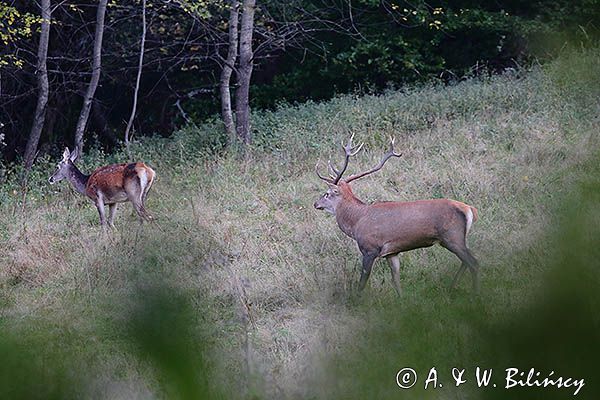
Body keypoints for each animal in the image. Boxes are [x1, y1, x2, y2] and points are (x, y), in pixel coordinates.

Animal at [314, 136, 478, 296]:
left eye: (327, 194)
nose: (315, 203)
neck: (356, 222)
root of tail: (469, 209)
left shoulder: (370, 248)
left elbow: (362, 282)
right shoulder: (391, 252)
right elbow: (396, 280)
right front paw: (401, 300)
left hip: (452, 236)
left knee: (473, 262)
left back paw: (475, 294)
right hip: (453, 239)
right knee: (467, 260)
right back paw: (452, 288)